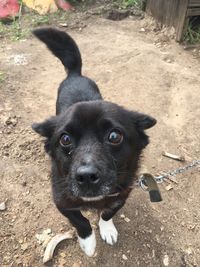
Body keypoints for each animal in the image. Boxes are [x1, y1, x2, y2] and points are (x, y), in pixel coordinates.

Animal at [32, 27, 156, 258]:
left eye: (114, 136)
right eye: (65, 139)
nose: (87, 177)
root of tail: (76, 74)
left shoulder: (121, 195)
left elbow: (107, 213)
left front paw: (107, 230)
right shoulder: (62, 201)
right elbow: (81, 221)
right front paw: (88, 242)